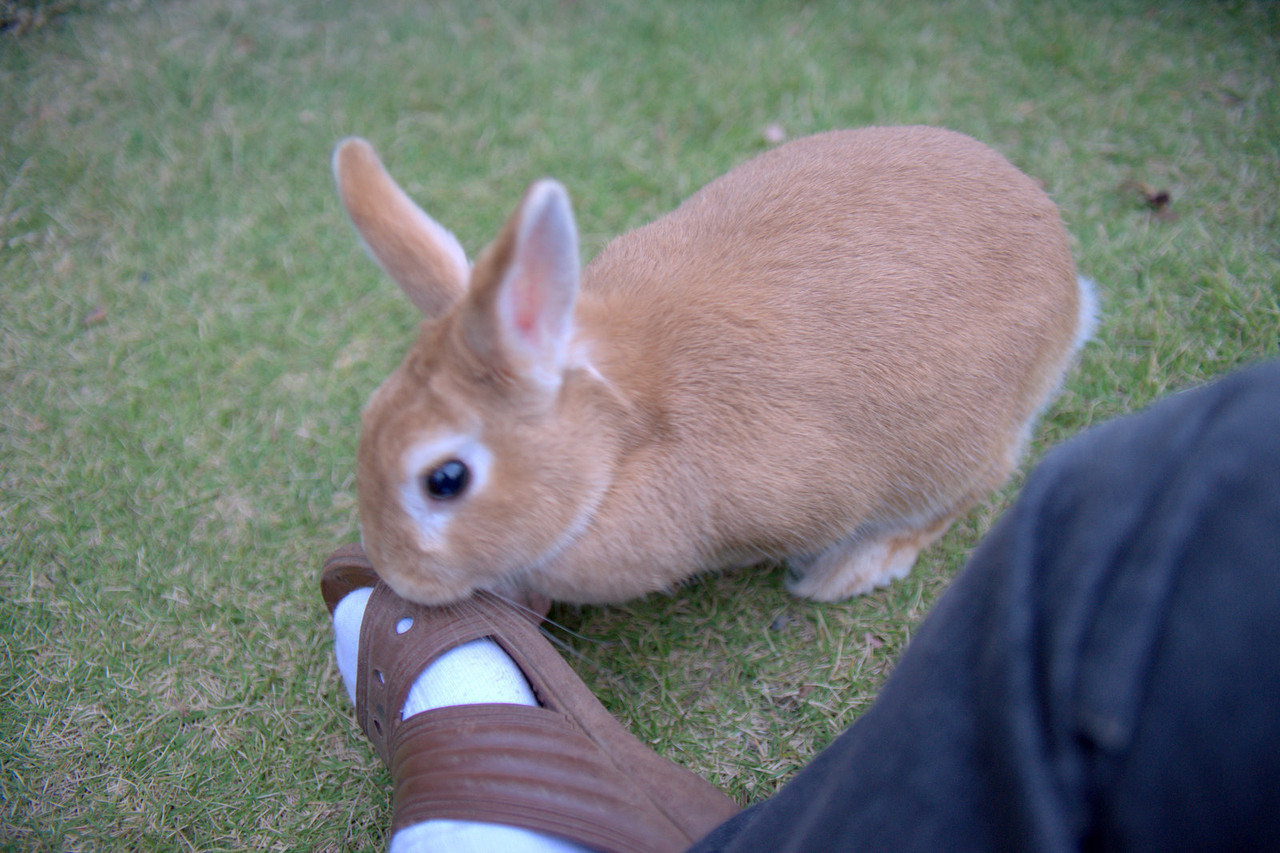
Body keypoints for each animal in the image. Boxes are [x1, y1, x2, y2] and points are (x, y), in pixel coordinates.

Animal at [333, 126, 1095, 606]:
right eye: (368, 418)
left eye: (446, 480)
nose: (399, 578)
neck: (620, 437)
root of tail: (1069, 285)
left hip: (951, 450)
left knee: (975, 486)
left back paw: (849, 571)